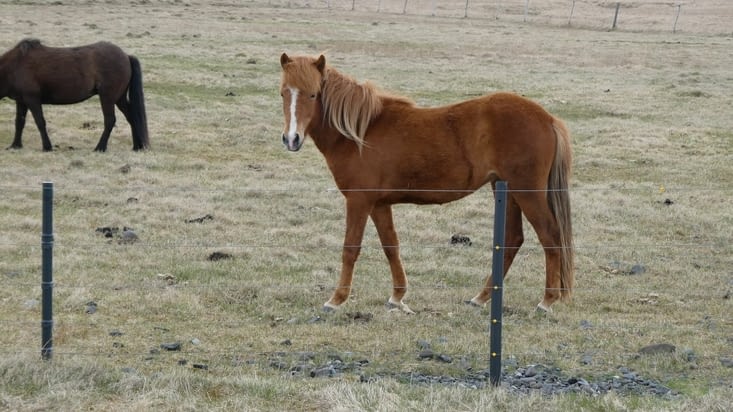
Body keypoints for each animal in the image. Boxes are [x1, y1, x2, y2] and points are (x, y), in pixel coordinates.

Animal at [0, 38, 149, 152]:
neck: (15, 65)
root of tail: (126, 56)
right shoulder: (21, 101)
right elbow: (19, 122)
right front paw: (15, 145)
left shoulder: (32, 99)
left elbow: (40, 122)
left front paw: (47, 147)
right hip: (119, 98)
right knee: (132, 117)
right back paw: (137, 146)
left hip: (108, 97)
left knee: (110, 120)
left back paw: (100, 147)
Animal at [279, 53, 574, 314]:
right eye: (283, 93)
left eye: (313, 94)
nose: (291, 139)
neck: (360, 132)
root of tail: (548, 119)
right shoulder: (379, 204)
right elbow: (391, 246)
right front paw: (397, 297)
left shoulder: (359, 201)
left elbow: (350, 249)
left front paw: (336, 299)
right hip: (506, 190)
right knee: (512, 239)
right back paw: (481, 297)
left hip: (527, 192)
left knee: (550, 235)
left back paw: (546, 301)